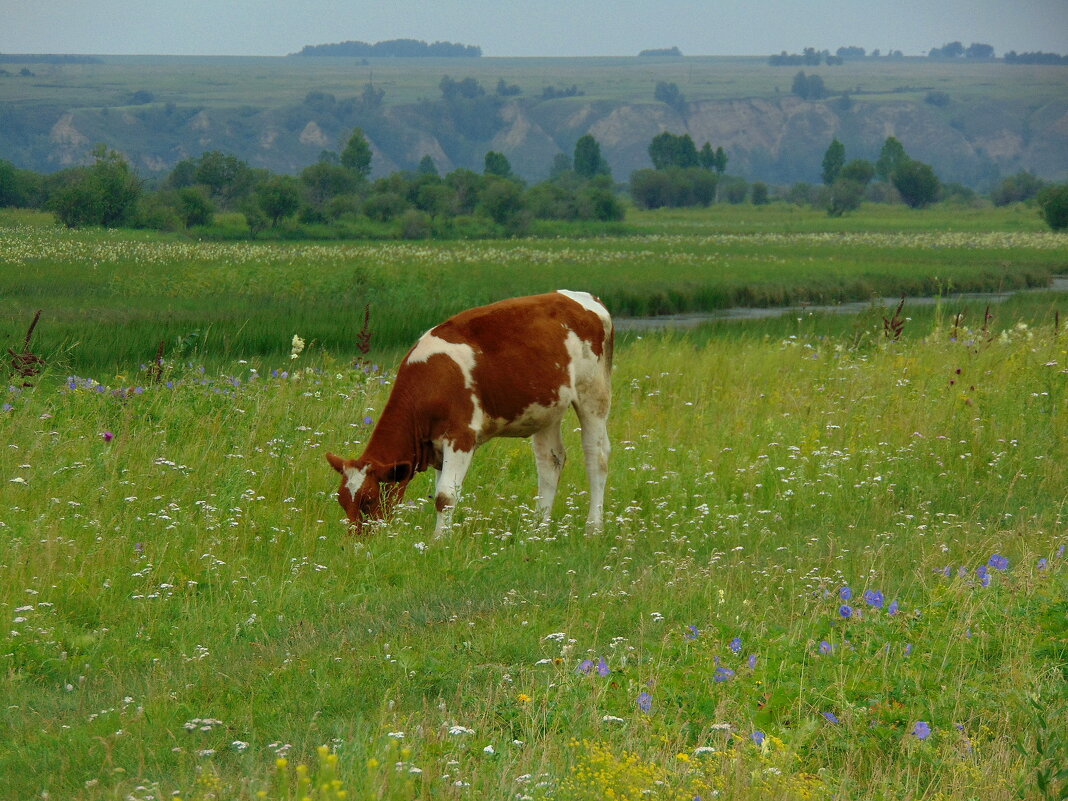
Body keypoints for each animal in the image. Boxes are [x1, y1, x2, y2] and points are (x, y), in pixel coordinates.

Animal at [324, 290, 615, 540]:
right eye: (342, 501)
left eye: (369, 500)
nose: (356, 541)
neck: (431, 382)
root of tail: (583, 297)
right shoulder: (437, 446)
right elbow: (441, 492)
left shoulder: (460, 436)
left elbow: (445, 496)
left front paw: (438, 541)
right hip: (547, 407)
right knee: (550, 461)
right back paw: (538, 529)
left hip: (594, 393)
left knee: (597, 457)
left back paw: (593, 528)